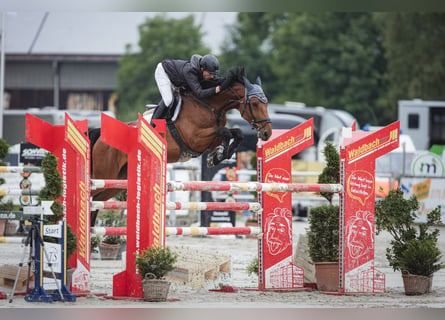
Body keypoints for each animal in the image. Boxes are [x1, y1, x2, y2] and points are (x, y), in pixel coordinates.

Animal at [88, 66, 272, 226]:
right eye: (255, 104)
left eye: (266, 103)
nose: (267, 133)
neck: (210, 106)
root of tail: (101, 136)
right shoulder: (195, 138)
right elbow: (225, 132)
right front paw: (218, 155)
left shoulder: (211, 138)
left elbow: (236, 133)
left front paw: (218, 156)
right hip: (106, 173)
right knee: (91, 195)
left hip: (117, 180)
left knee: (97, 201)